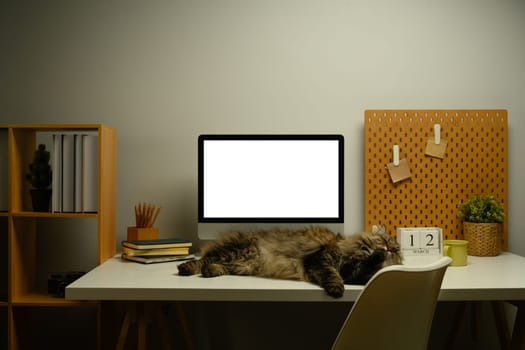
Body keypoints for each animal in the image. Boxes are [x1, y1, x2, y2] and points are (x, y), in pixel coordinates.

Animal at [177, 227, 402, 298]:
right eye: (384, 241)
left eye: (396, 249)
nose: (389, 248)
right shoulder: (322, 258)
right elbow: (331, 275)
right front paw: (337, 290)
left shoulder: (352, 272)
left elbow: (361, 268)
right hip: (237, 252)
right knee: (204, 259)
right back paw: (185, 268)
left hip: (242, 263)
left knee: (213, 264)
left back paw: (211, 272)